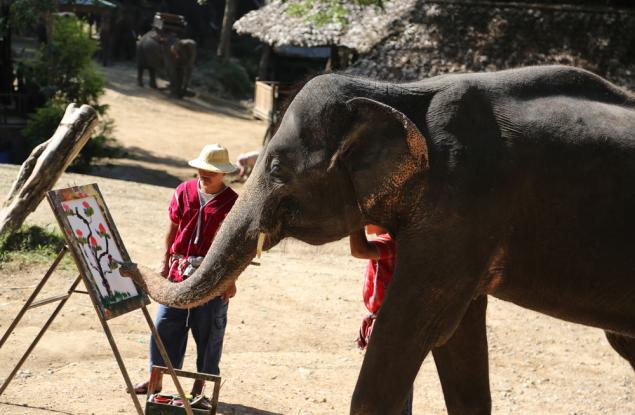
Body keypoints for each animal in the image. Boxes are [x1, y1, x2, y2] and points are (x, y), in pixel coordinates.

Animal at [123, 66, 635, 415]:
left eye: (277, 168)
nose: (127, 265)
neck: (398, 94)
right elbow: (458, 336)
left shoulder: (464, 205)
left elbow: (415, 327)